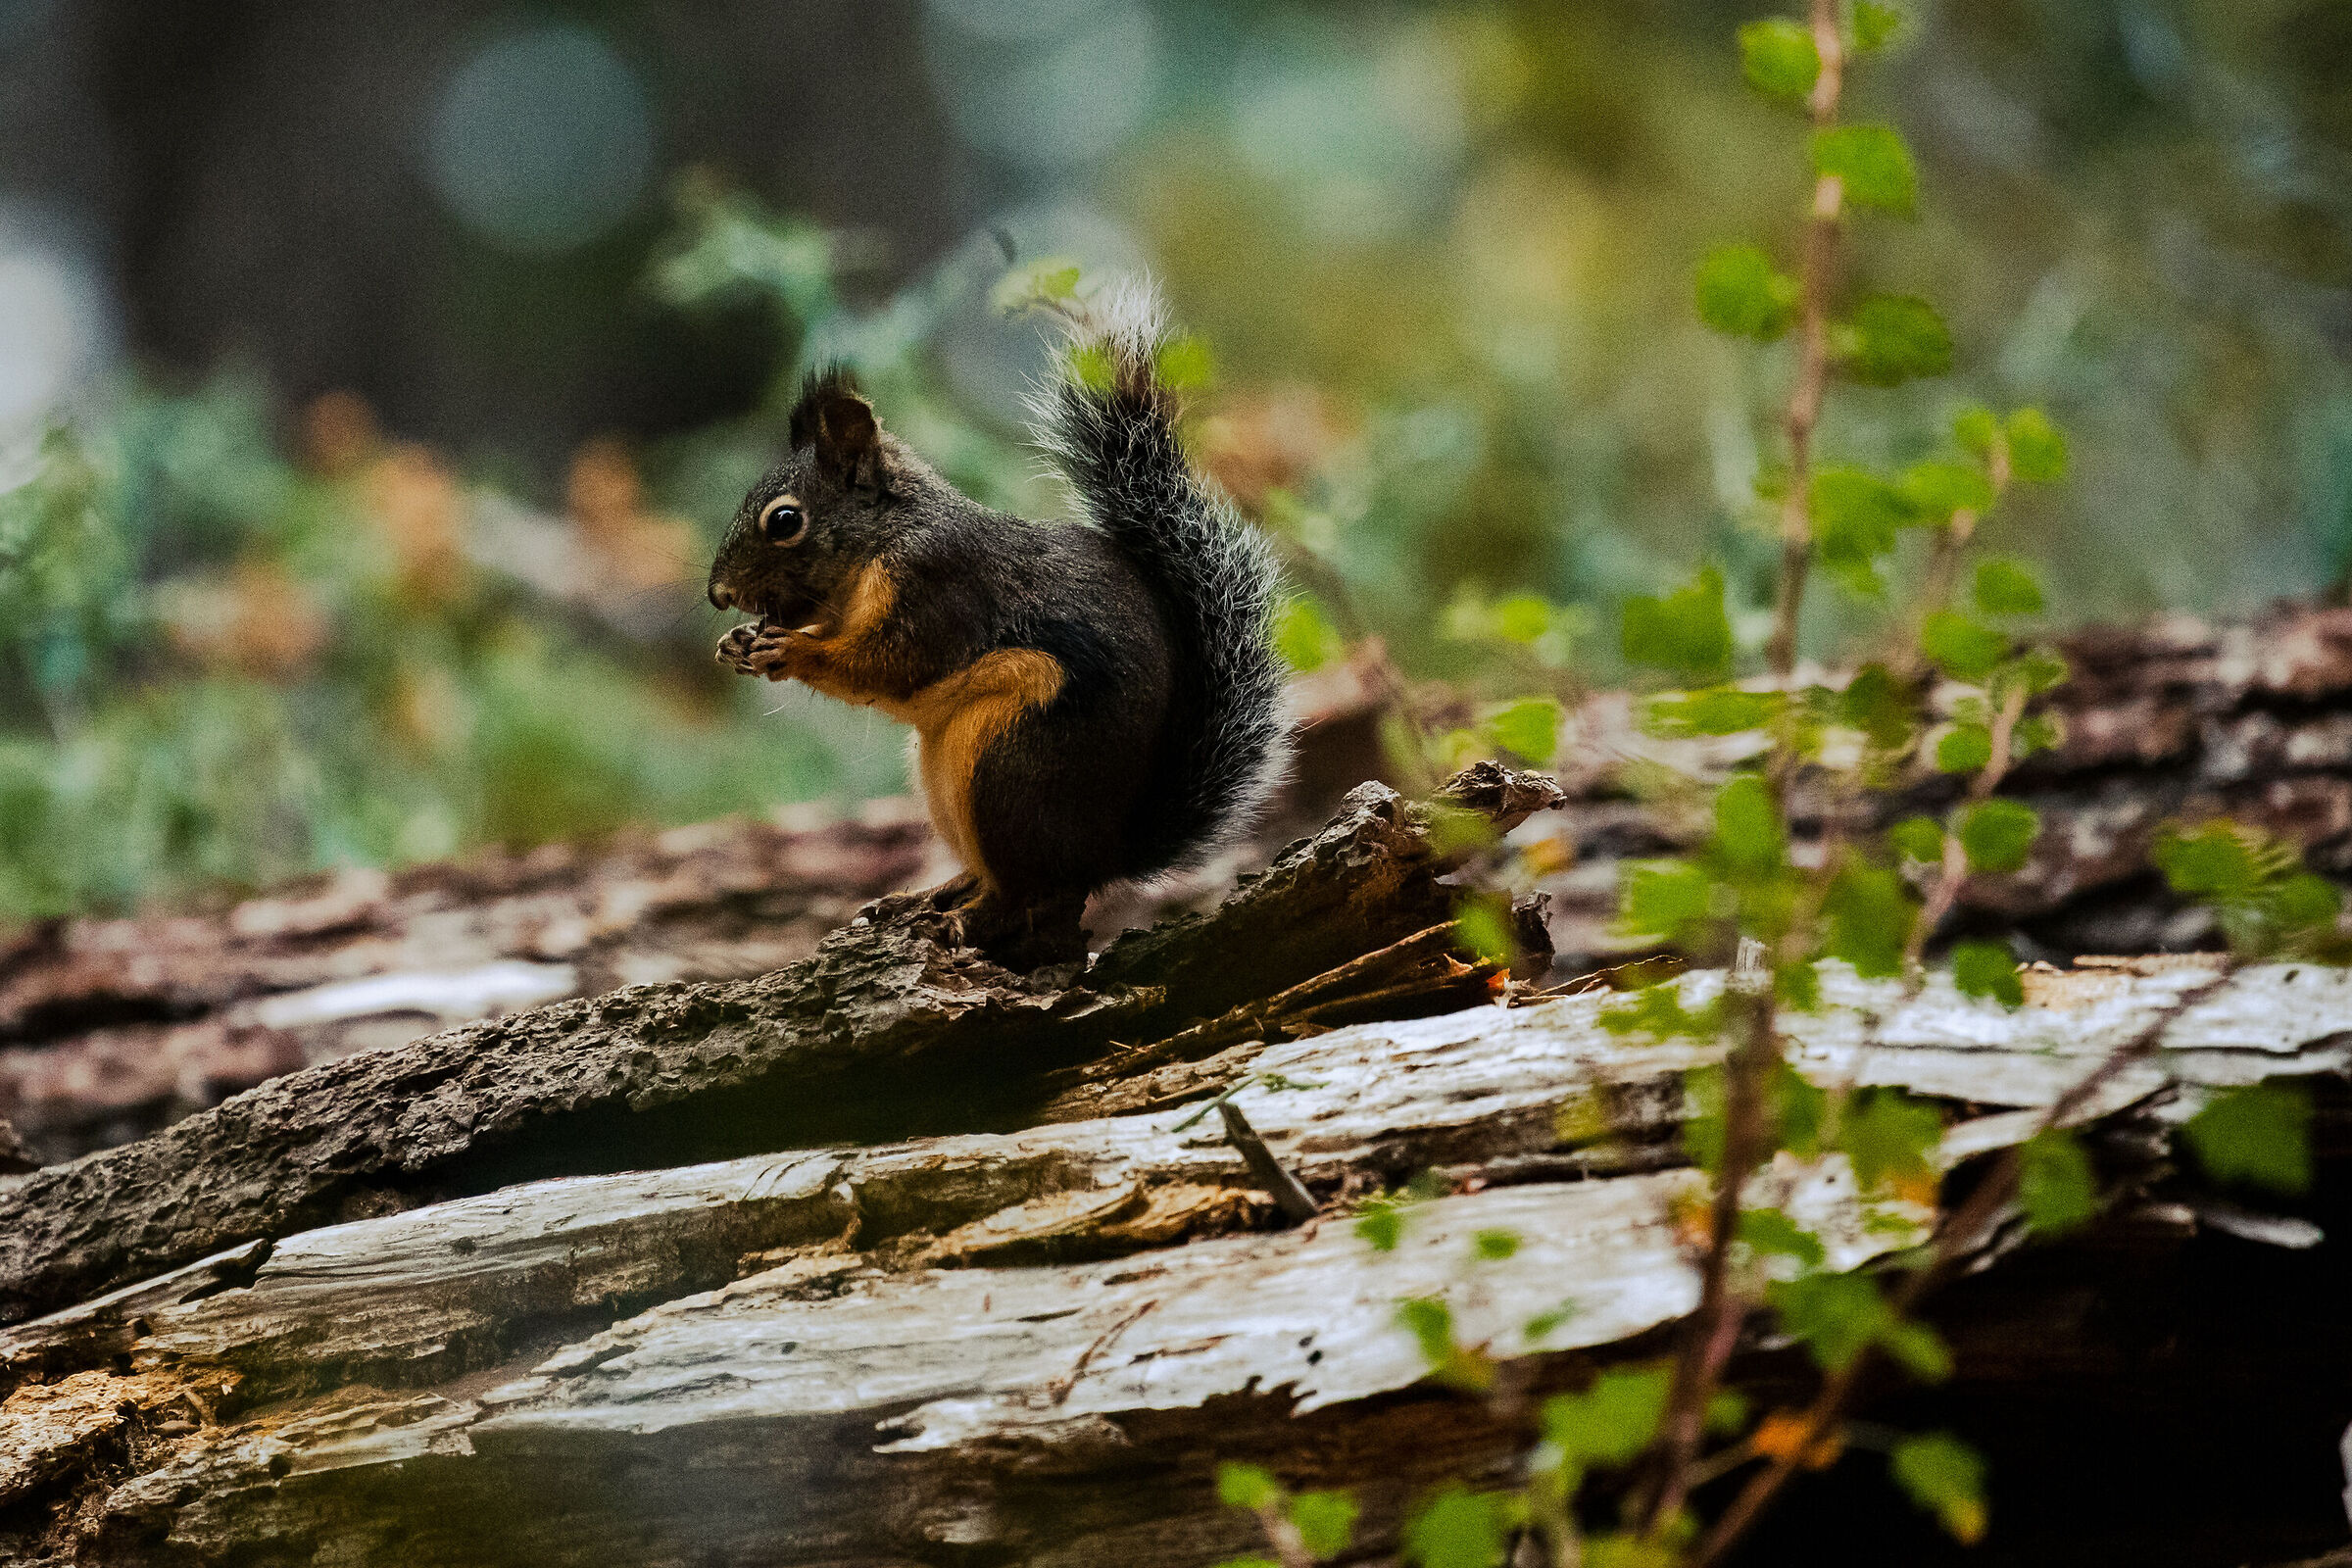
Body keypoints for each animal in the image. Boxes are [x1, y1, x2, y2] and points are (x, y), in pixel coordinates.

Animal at [707, 281, 1290, 968]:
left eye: (784, 520)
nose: (717, 595)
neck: (886, 537)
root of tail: (1105, 855)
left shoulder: (937, 585)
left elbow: (891, 664)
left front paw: (791, 652)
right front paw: (736, 643)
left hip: (1005, 769)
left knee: (1031, 893)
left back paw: (969, 920)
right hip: (944, 778)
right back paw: (928, 896)